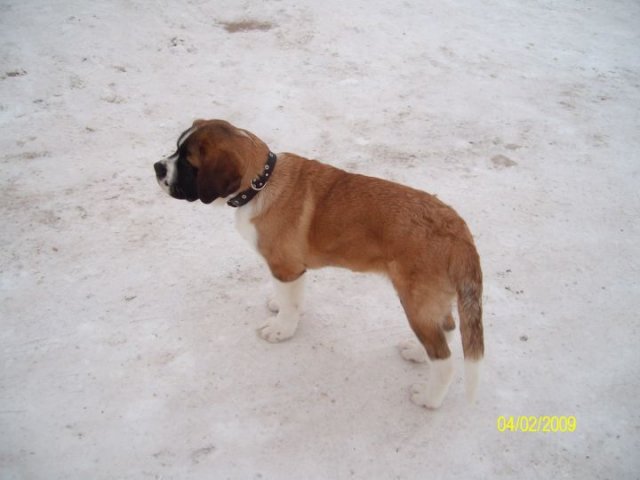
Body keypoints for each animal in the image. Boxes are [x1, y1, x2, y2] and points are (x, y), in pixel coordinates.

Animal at [154, 119, 484, 409]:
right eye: (176, 150)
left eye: (188, 163)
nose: (157, 167)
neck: (261, 184)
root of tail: (459, 231)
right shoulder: (289, 270)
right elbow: (290, 299)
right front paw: (279, 307)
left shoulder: (286, 268)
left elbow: (290, 306)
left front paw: (281, 330)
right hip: (432, 301)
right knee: (446, 328)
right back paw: (417, 352)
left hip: (416, 300)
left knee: (444, 359)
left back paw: (428, 399)